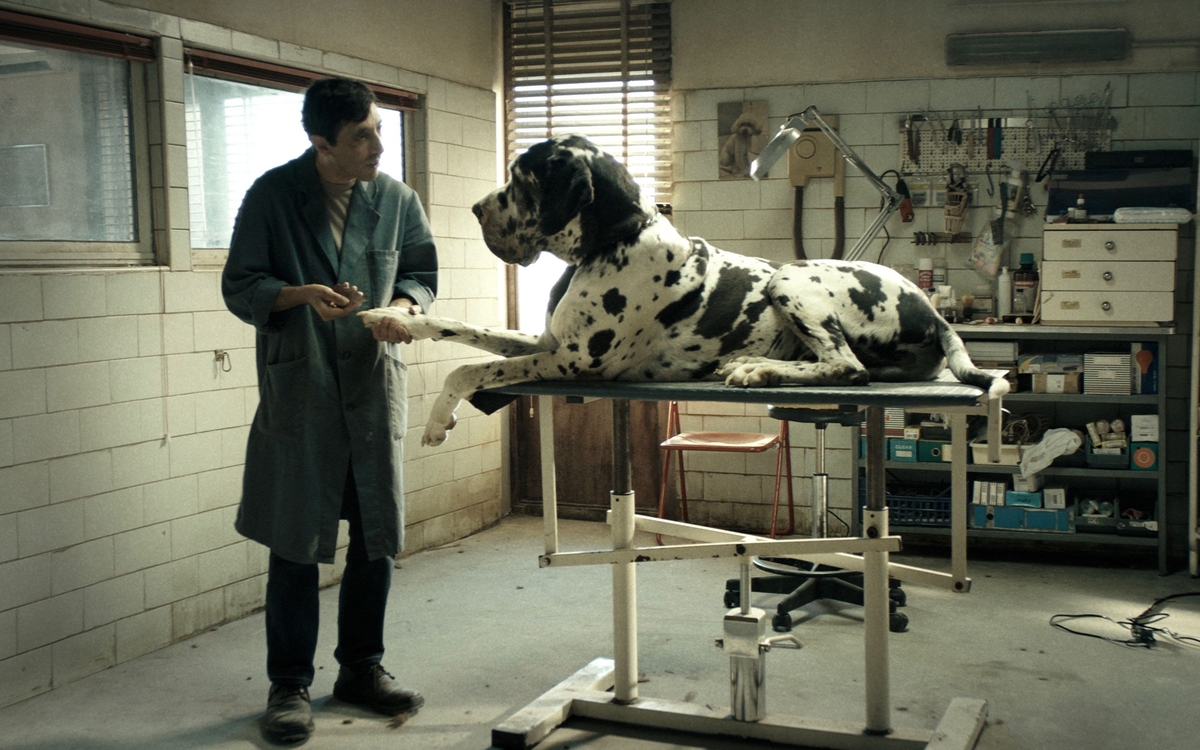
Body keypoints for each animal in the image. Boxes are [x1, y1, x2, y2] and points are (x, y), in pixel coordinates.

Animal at [360, 136, 1008, 444]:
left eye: (522, 180)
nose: (475, 208)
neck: (611, 242)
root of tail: (931, 307)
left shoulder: (575, 363)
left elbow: (469, 370)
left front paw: (436, 421)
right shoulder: (545, 344)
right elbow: (463, 335)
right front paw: (397, 320)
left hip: (791, 275)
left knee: (847, 367)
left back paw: (755, 369)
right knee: (856, 368)